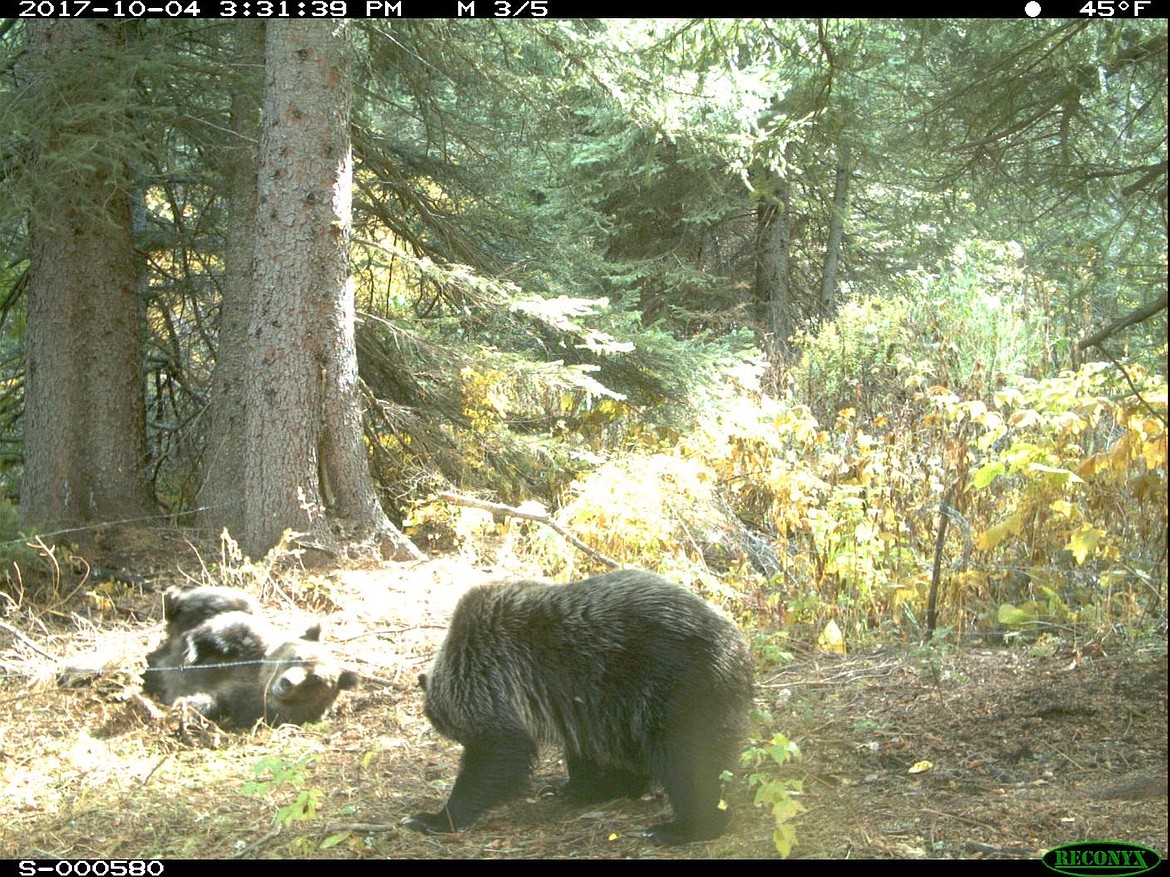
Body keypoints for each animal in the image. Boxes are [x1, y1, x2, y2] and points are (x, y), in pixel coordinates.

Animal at [404, 570, 748, 846]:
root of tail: (738, 643)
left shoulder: (496, 682)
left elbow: (497, 756)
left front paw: (432, 817)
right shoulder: (583, 705)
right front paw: (576, 787)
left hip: (675, 685)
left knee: (686, 759)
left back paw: (680, 828)